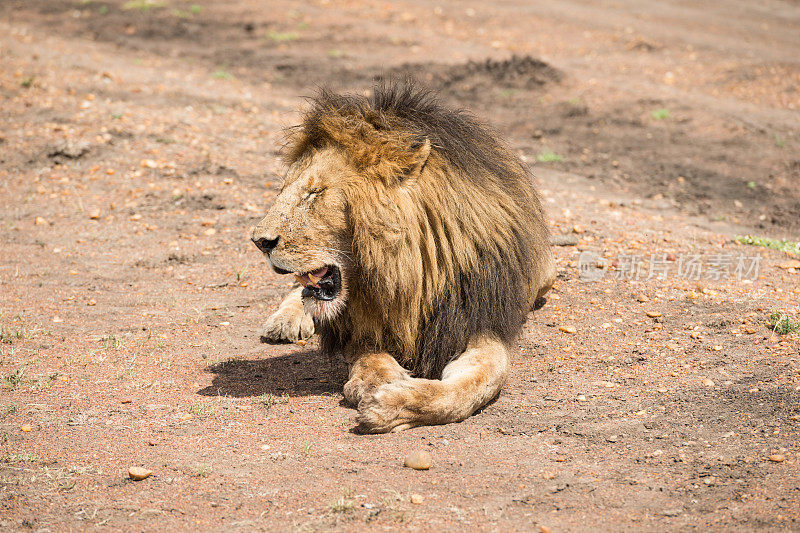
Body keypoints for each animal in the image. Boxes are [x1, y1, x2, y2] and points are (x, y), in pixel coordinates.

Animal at [253, 82, 552, 432]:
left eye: (315, 193)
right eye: (283, 189)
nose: (259, 241)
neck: (410, 274)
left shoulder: (478, 322)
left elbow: (475, 385)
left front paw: (390, 403)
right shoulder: (364, 324)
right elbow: (370, 355)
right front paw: (376, 382)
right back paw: (285, 320)